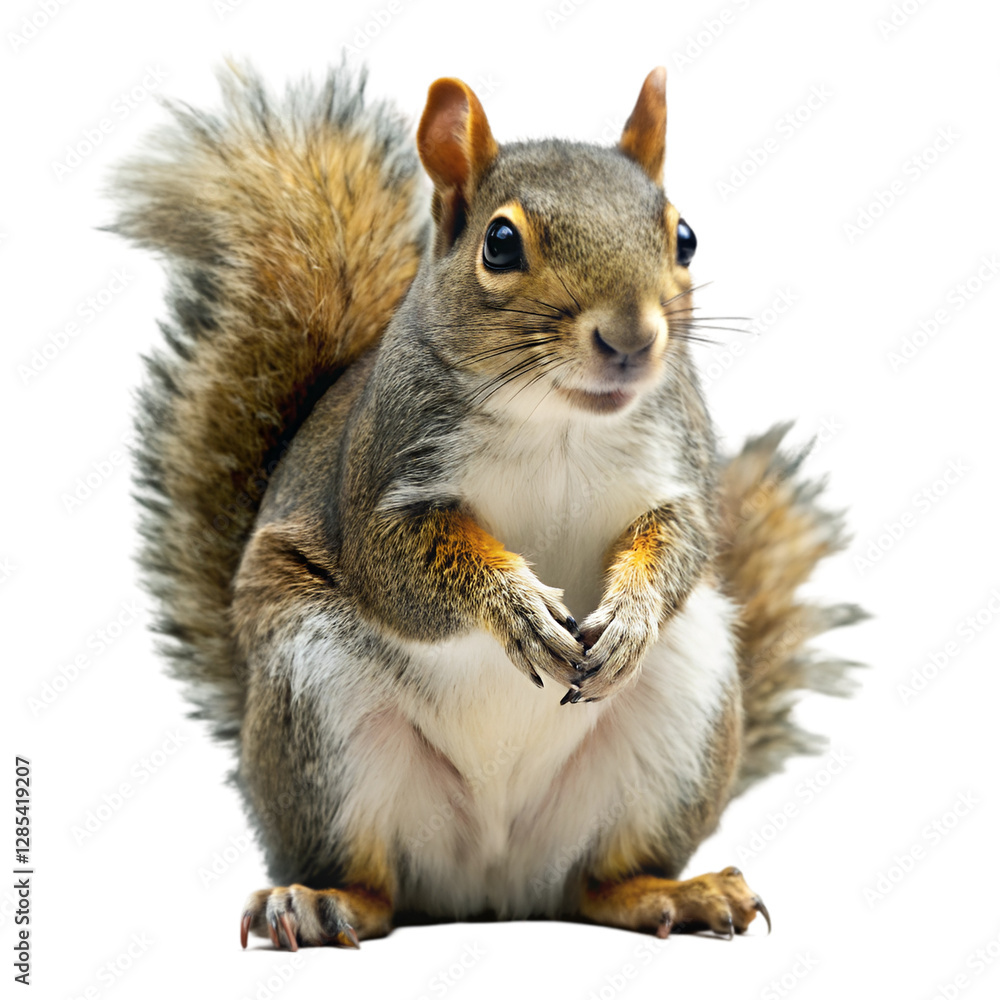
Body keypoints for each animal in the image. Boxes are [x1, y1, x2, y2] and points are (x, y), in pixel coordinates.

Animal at [111, 63, 863, 948]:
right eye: (500, 244)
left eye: (684, 238)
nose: (631, 338)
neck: (561, 421)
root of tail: (491, 885)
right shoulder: (381, 484)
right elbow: (401, 571)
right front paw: (519, 610)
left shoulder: (680, 467)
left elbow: (683, 545)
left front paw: (633, 613)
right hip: (315, 708)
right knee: (374, 881)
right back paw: (321, 902)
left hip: (684, 711)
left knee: (599, 882)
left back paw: (673, 893)